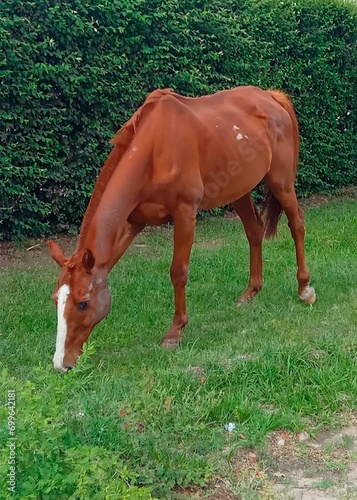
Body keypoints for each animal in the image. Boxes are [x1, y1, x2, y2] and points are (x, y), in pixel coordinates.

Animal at [47, 88, 314, 374]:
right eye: (56, 299)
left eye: (83, 302)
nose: (61, 363)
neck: (153, 151)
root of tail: (271, 97)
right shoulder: (134, 222)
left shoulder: (185, 213)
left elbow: (178, 272)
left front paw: (175, 333)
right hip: (239, 190)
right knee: (254, 231)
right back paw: (251, 292)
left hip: (281, 181)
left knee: (297, 224)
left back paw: (304, 289)